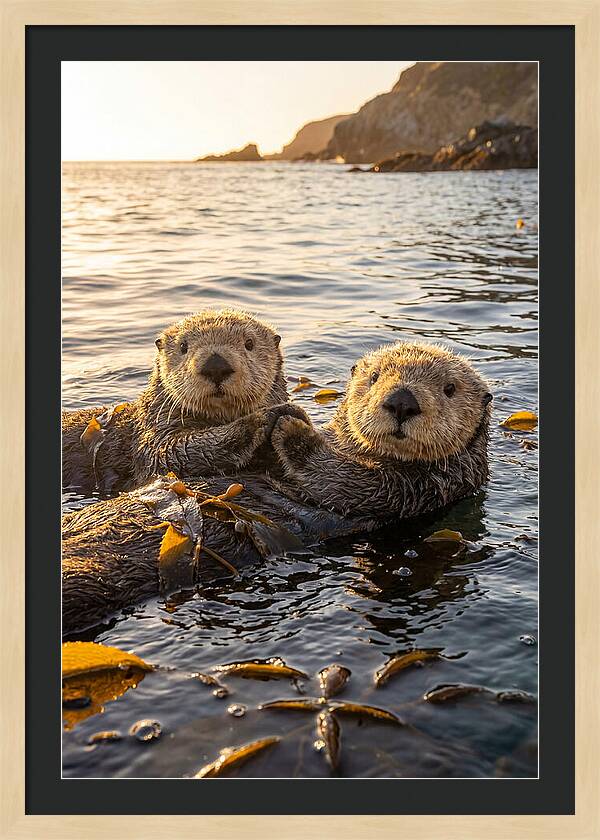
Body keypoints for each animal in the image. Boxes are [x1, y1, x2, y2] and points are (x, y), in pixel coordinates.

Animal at [62, 309, 307, 494]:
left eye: (249, 343)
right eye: (183, 347)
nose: (215, 365)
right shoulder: (154, 435)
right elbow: (170, 453)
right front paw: (268, 416)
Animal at [62, 342, 492, 634]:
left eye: (449, 389)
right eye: (374, 378)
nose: (401, 401)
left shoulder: (417, 489)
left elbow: (342, 480)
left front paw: (291, 427)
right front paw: (278, 415)